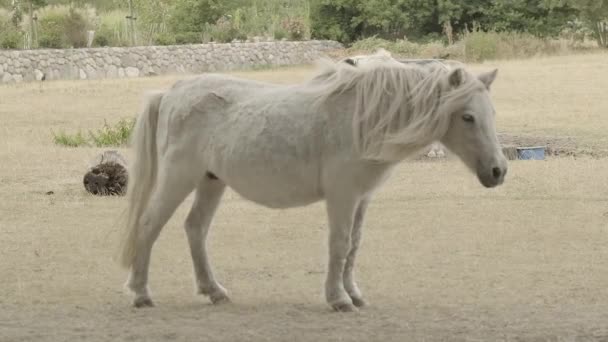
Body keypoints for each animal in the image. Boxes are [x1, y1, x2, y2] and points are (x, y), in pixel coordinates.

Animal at [116, 50, 506, 312]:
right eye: (467, 117)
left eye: (491, 112)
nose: (498, 171)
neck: (362, 118)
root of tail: (171, 92)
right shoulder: (342, 196)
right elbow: (339, 244)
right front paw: (338, 299)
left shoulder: (361, 198)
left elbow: (354, 245)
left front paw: (354, 294)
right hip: (178, 178)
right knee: (149, 225)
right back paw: (141, 293)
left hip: (211, 181)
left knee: (195, 229)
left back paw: (214, 291)